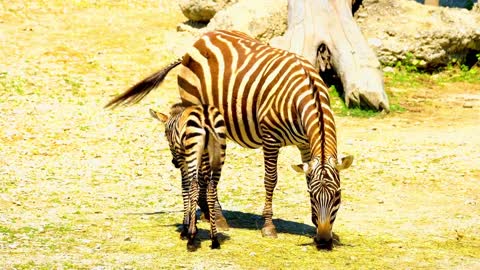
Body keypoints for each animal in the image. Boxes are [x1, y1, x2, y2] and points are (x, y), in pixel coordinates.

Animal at [150, 103, 227, 249]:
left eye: (165, 135)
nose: (173, 163)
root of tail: (206, 115)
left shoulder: (182, 158)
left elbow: (185, 187)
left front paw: (186, 228)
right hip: (218, 154)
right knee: (211, 189)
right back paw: (214, 239)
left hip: (192, 153)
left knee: (194, 187)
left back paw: (191, 238)